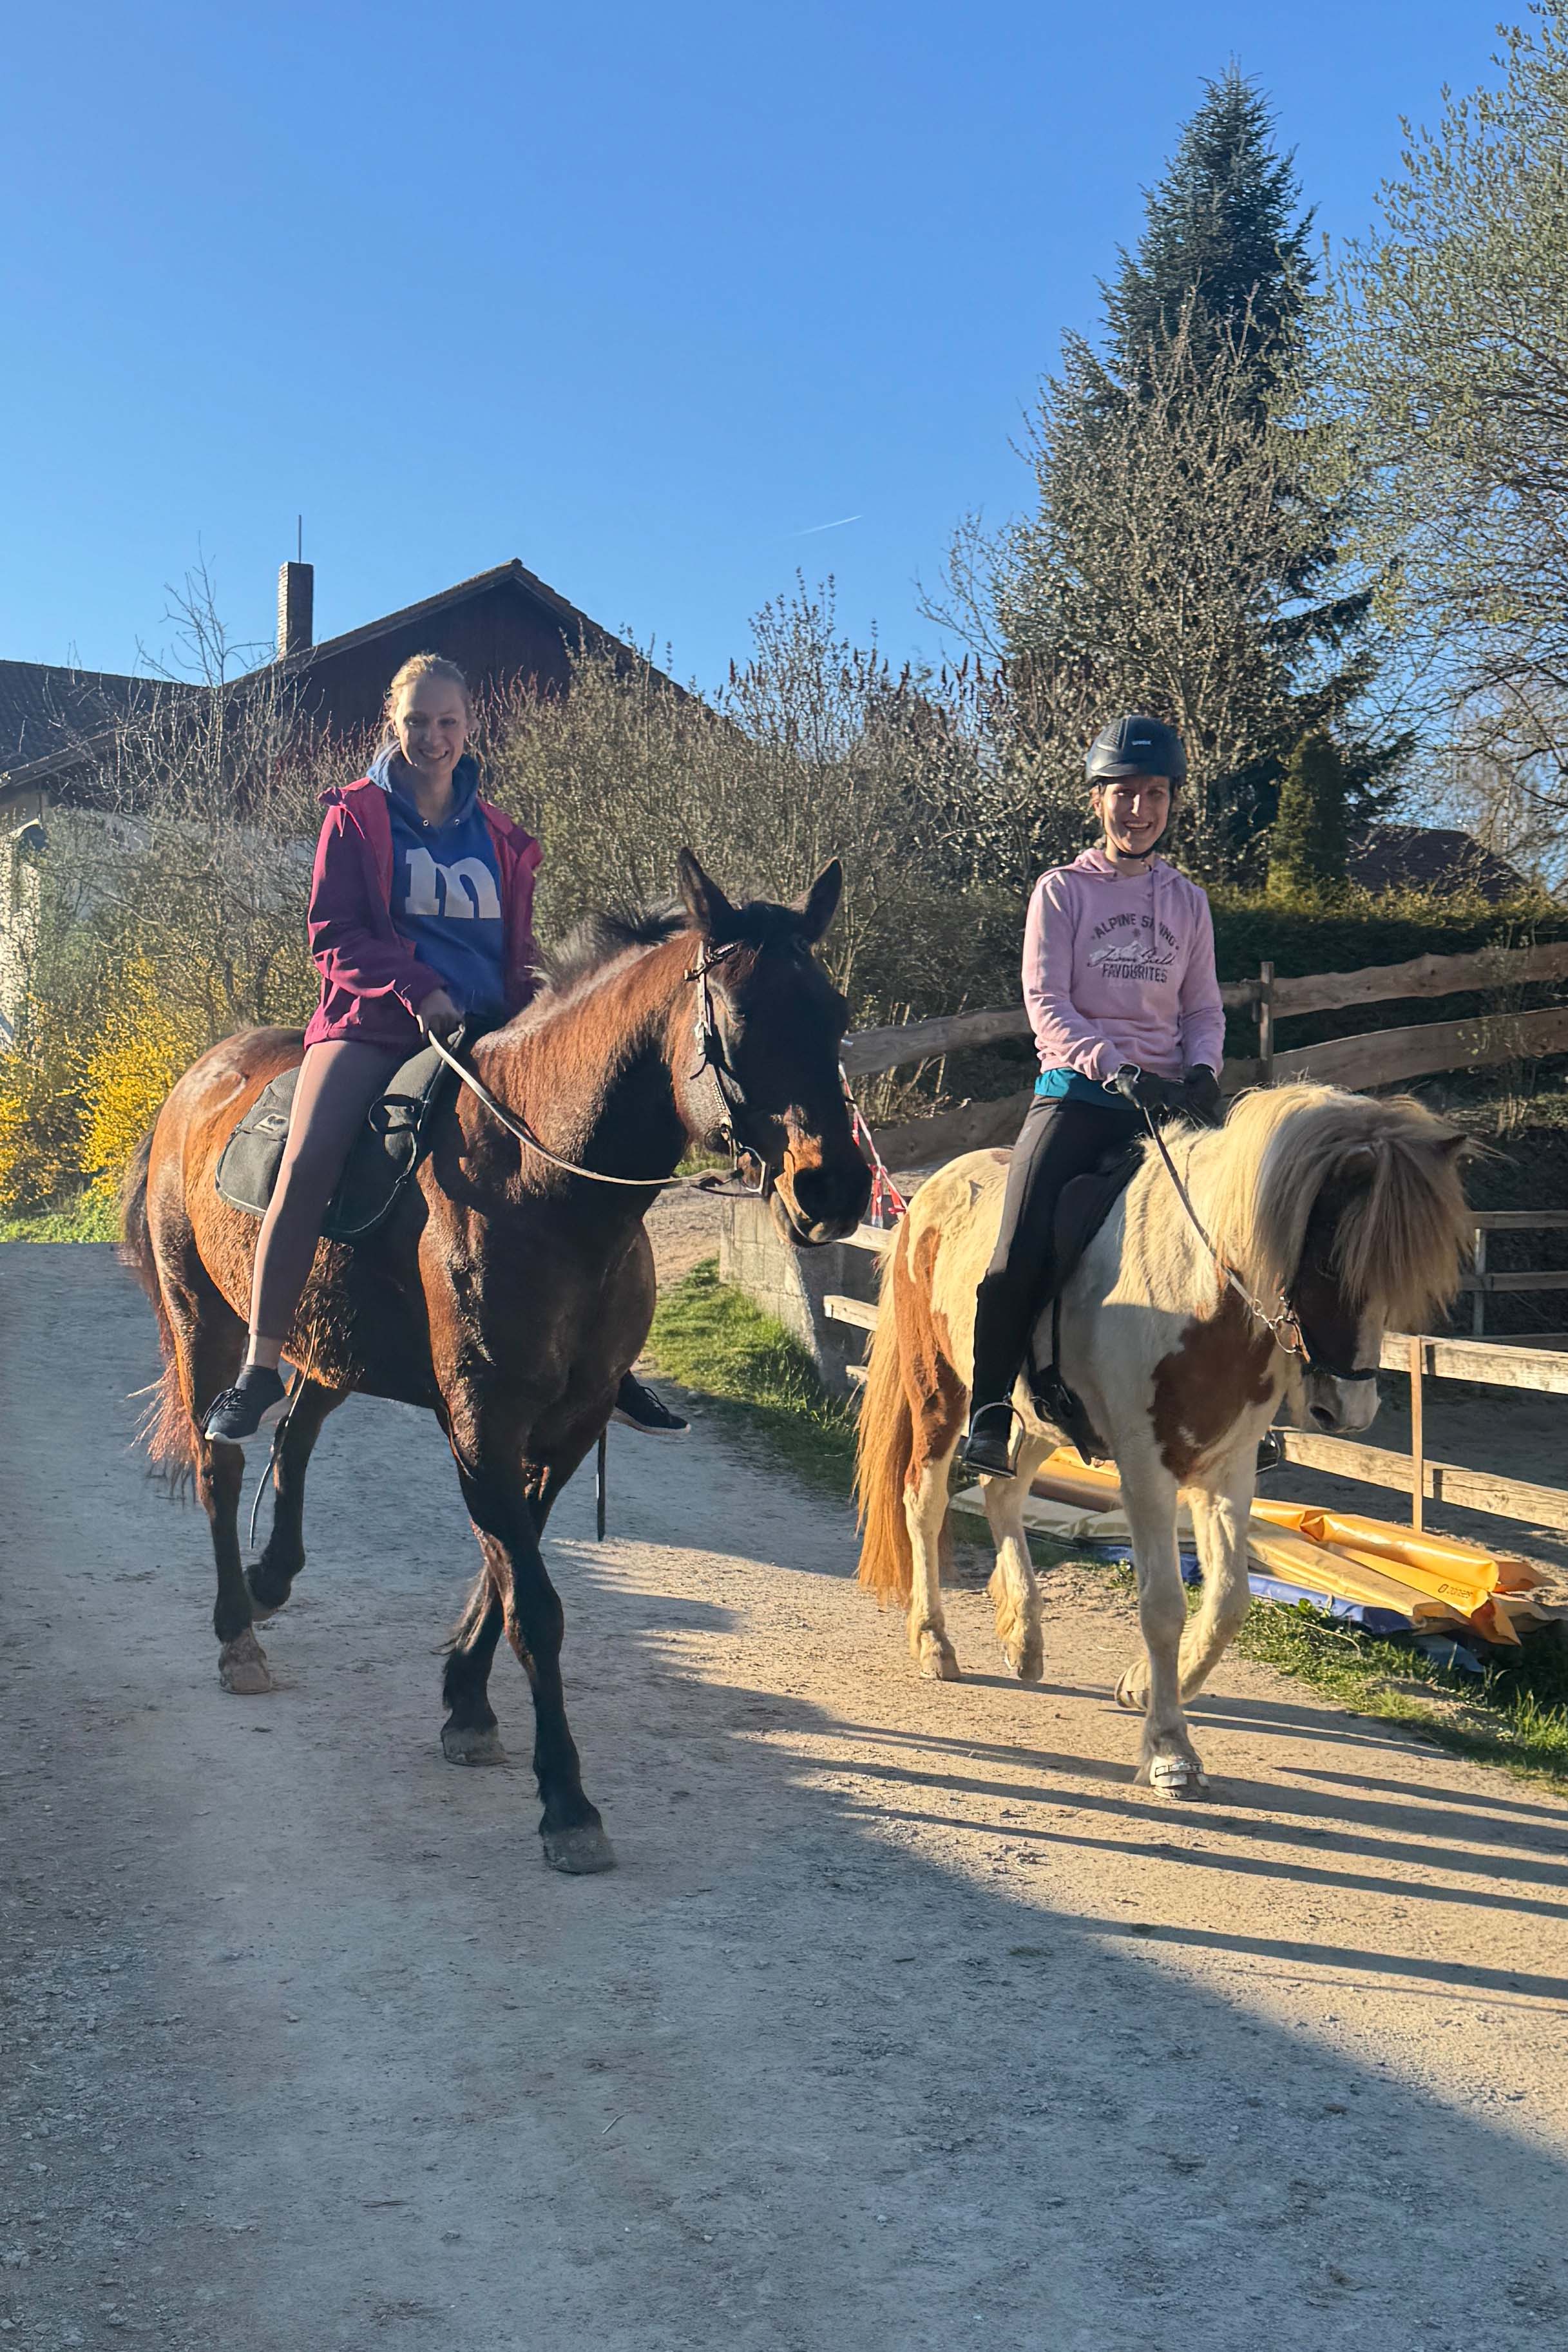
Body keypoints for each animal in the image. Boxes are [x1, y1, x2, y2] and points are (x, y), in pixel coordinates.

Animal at [121, 851, 871, 1872]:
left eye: (834, 1013)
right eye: (741, 1018)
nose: (834, 1188)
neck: (544, 1184)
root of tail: (197, 1079)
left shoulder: (566, 1420)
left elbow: (508, 1562)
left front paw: (467, 1703)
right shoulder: (483, 1416)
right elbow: (532, 1598)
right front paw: (566, 1801)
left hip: (334, 1345)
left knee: (299, 1434)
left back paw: (274, 1578)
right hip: (205, 1323)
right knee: (223, 1459)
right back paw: (238, 1630)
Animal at [854, 1084, 1470, 1796]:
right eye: (1327, 1256)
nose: (1349, 1409)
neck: (1198, 1293)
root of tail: (926, 1193)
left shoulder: (1227, 1466)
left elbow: (1227, 1600)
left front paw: (1142, 1687)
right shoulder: (1146, 1468)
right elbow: (1163, 1604)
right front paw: (1171, 1748)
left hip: (1037, 1418)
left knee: (1002, 1492)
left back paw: (1023, 1639)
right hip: (940, 1394)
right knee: (923, 1502)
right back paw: (934, 1643)